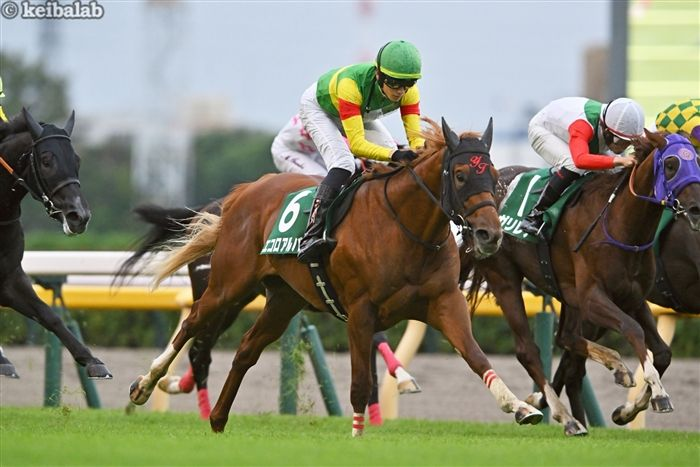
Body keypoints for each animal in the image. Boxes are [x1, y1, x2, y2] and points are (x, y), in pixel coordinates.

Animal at [0, 109, 112, 379]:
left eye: (77, 160)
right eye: (46, 161)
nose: (79, 216)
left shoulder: (11, 277)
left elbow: (49, 315)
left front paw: (92, 360)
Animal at [129, 117, 546, 436]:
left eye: (495, 176)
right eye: (460, 175)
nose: (490, 234)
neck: (406, 227)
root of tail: (242, 193)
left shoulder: (444, 303)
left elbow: (476, 356)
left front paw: (521, 407)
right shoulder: (360, 311)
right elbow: (361, 382)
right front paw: (358, 434)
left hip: (283, 299)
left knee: (245, 349)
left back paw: (217, 418)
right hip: (229, 285)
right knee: (193, 325)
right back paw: (145, 384)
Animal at [464, 130, 700, 435]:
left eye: (696, 161)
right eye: (671, 165)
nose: (696, 208)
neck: (621, 224)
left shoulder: (633, 298)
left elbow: (662, 353)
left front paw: (628, 410)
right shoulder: (592, 298)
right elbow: (633, 330)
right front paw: (658, 393)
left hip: (568, 295)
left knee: (566, 340)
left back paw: (605, 372)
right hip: (504, 277)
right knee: (530, 351)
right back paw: (566, 417)